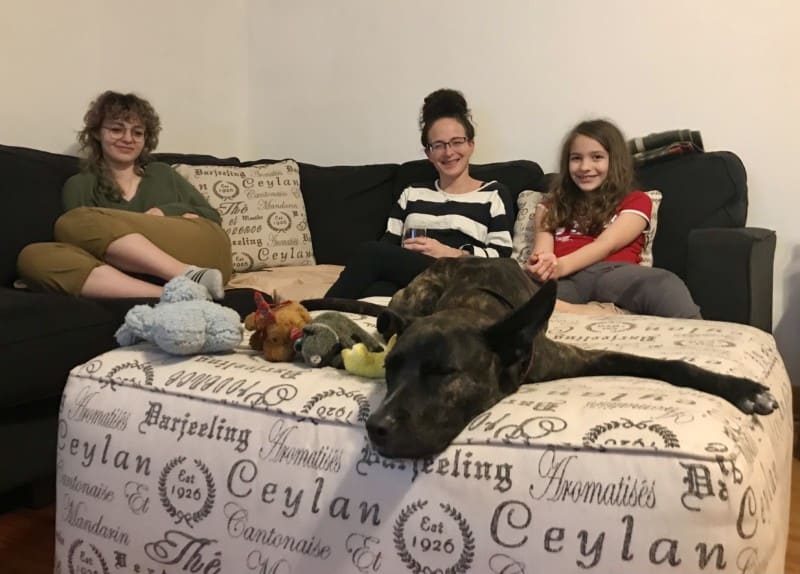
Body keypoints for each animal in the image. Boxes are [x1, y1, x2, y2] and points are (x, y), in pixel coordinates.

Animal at [358, 256, 780, 460]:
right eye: (390, 371)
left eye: (443, 373)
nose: (374, 427)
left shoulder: (577, 357)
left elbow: (669, 365)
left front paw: (743, 389)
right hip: (410, 297)